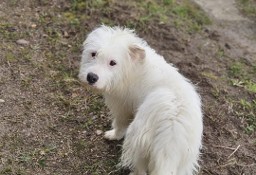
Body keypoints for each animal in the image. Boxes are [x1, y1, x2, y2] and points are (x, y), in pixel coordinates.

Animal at [79, 25, 203, 175]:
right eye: (93, 54)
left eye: (113, 63)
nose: (91, 77)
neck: (132, 68)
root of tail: (171, 134)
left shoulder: (122, 107)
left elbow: (120, 125)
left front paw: (113, 135)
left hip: (137, 138)